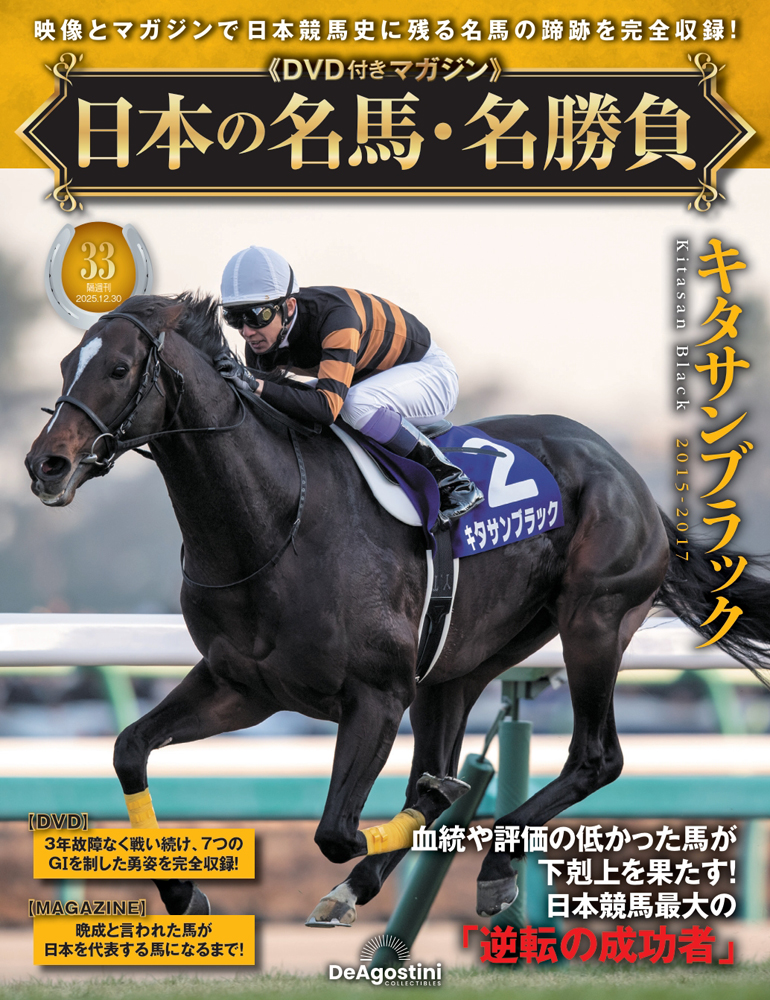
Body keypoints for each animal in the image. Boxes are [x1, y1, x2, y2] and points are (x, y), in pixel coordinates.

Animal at [25, 293, 770, 923]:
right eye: (64, 365)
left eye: (120, 368)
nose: (45, 465)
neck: (273, 524)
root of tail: (628, 473)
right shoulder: (242, 686)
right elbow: (129, 748)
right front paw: (184, 894)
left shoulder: (377, 693)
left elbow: (335, 830)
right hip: (461, 666)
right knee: (449, 753)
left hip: (594, 619)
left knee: (596, 758)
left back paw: (491, 861)